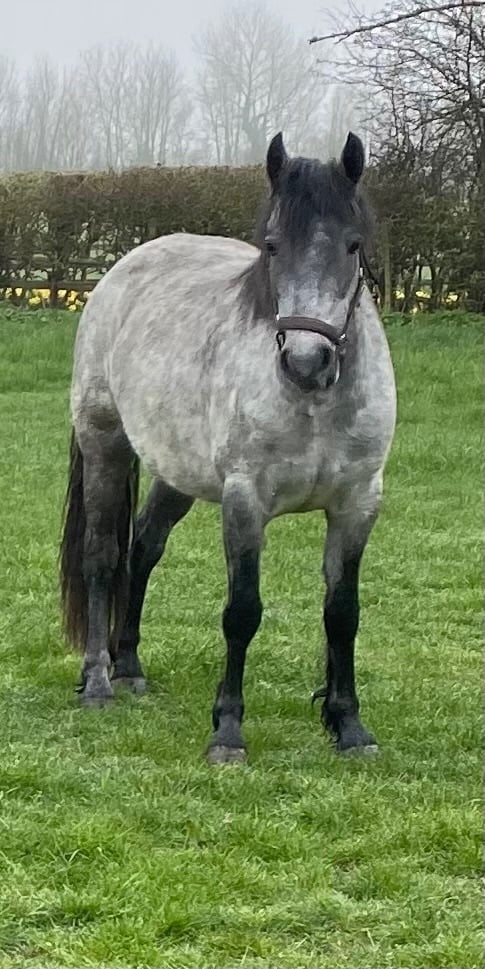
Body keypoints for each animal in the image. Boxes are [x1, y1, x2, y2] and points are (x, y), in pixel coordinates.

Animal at [60, 131, 396, 764]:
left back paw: (129, 664)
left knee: (144, 547)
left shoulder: (357, 502)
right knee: (102, 556)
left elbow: (343, 613)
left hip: (175, 472)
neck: (313, 403)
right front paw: (228, 731)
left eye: (352, 245)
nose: (307, 362)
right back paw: (97, 680)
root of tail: (125, 268)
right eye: (271, 245)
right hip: (105, 445)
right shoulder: (246, 500)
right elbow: (242, 612)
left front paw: (348, 726)